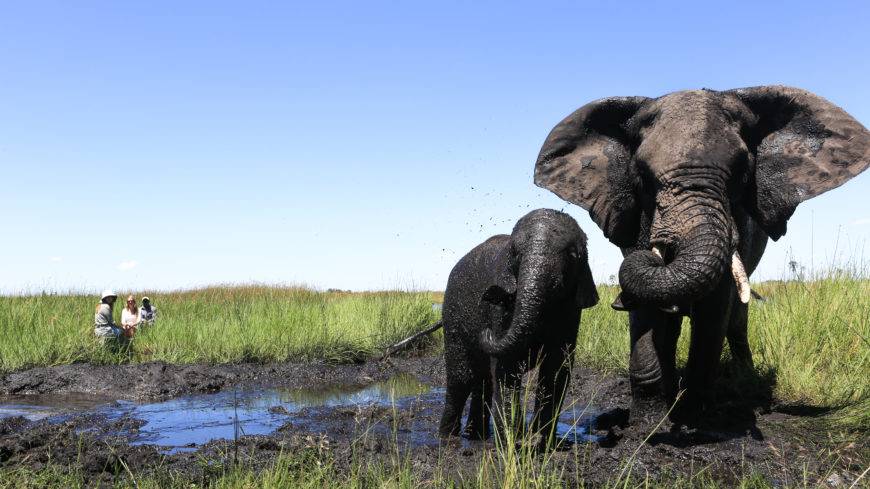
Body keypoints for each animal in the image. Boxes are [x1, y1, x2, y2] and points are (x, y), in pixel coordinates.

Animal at [440, 208, 596, 444]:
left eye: (572, 254)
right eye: (514, 254)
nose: (486, 332)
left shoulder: (570, 309)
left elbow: (557, 368)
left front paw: (541, 441)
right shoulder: (501, 310)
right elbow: (507, 367)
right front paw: (514, 442)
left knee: (482, 380)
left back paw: (476, 436)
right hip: (452, 312)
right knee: (461, 379)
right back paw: (446, 437)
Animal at [536, 86, 870, 418]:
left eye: (743, 173)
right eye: (641, 175)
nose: (618, 301)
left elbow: (714, 311)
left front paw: (695, 412)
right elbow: (646, 312)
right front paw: (650, 420)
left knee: (737, 322)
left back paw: (744, 379)